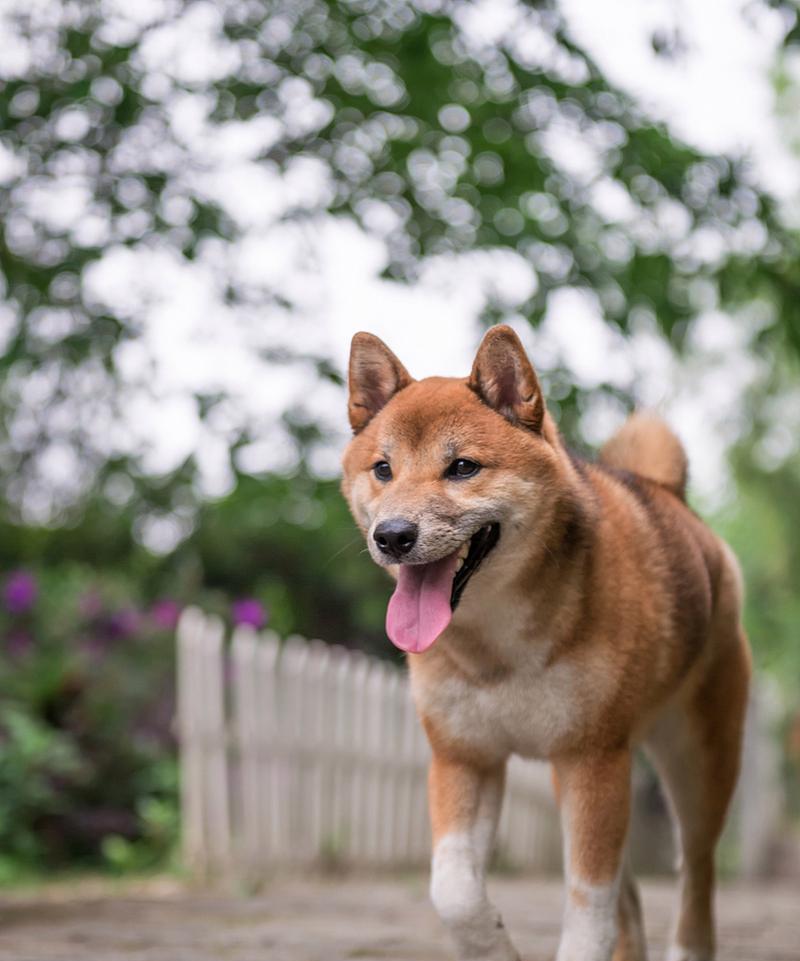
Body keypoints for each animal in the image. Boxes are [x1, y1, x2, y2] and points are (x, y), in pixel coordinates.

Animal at [340, 324, 752, 960]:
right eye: (383, 469)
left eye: (462, 467)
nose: (393, 536)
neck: (497, 647)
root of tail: (669, 495)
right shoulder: (465, 756)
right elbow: (454, 893)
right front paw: (493, 946)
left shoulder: (592, 758)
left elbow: (588, 909)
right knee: (632, 891)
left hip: (694, 763)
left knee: (697, 876)